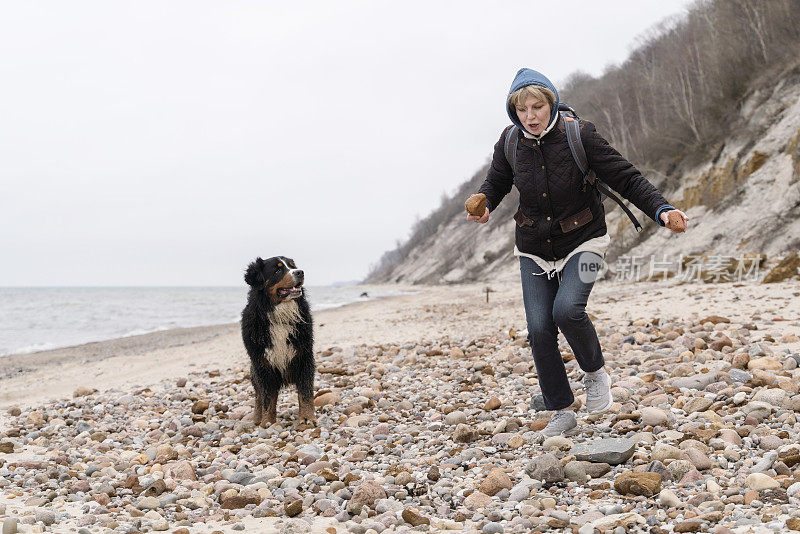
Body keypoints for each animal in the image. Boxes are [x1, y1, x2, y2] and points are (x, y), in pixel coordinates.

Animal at [239, 255, 314, 428]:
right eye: (277, 270)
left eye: (292, 266)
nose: (300, 272)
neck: (279, 315)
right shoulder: (262, 363)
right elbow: (267, 398)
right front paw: (267, 422)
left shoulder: (304, 357)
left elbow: (305, 392)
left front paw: (307, 419)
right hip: (253, 370)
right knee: (258, 396)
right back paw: (257, 417)